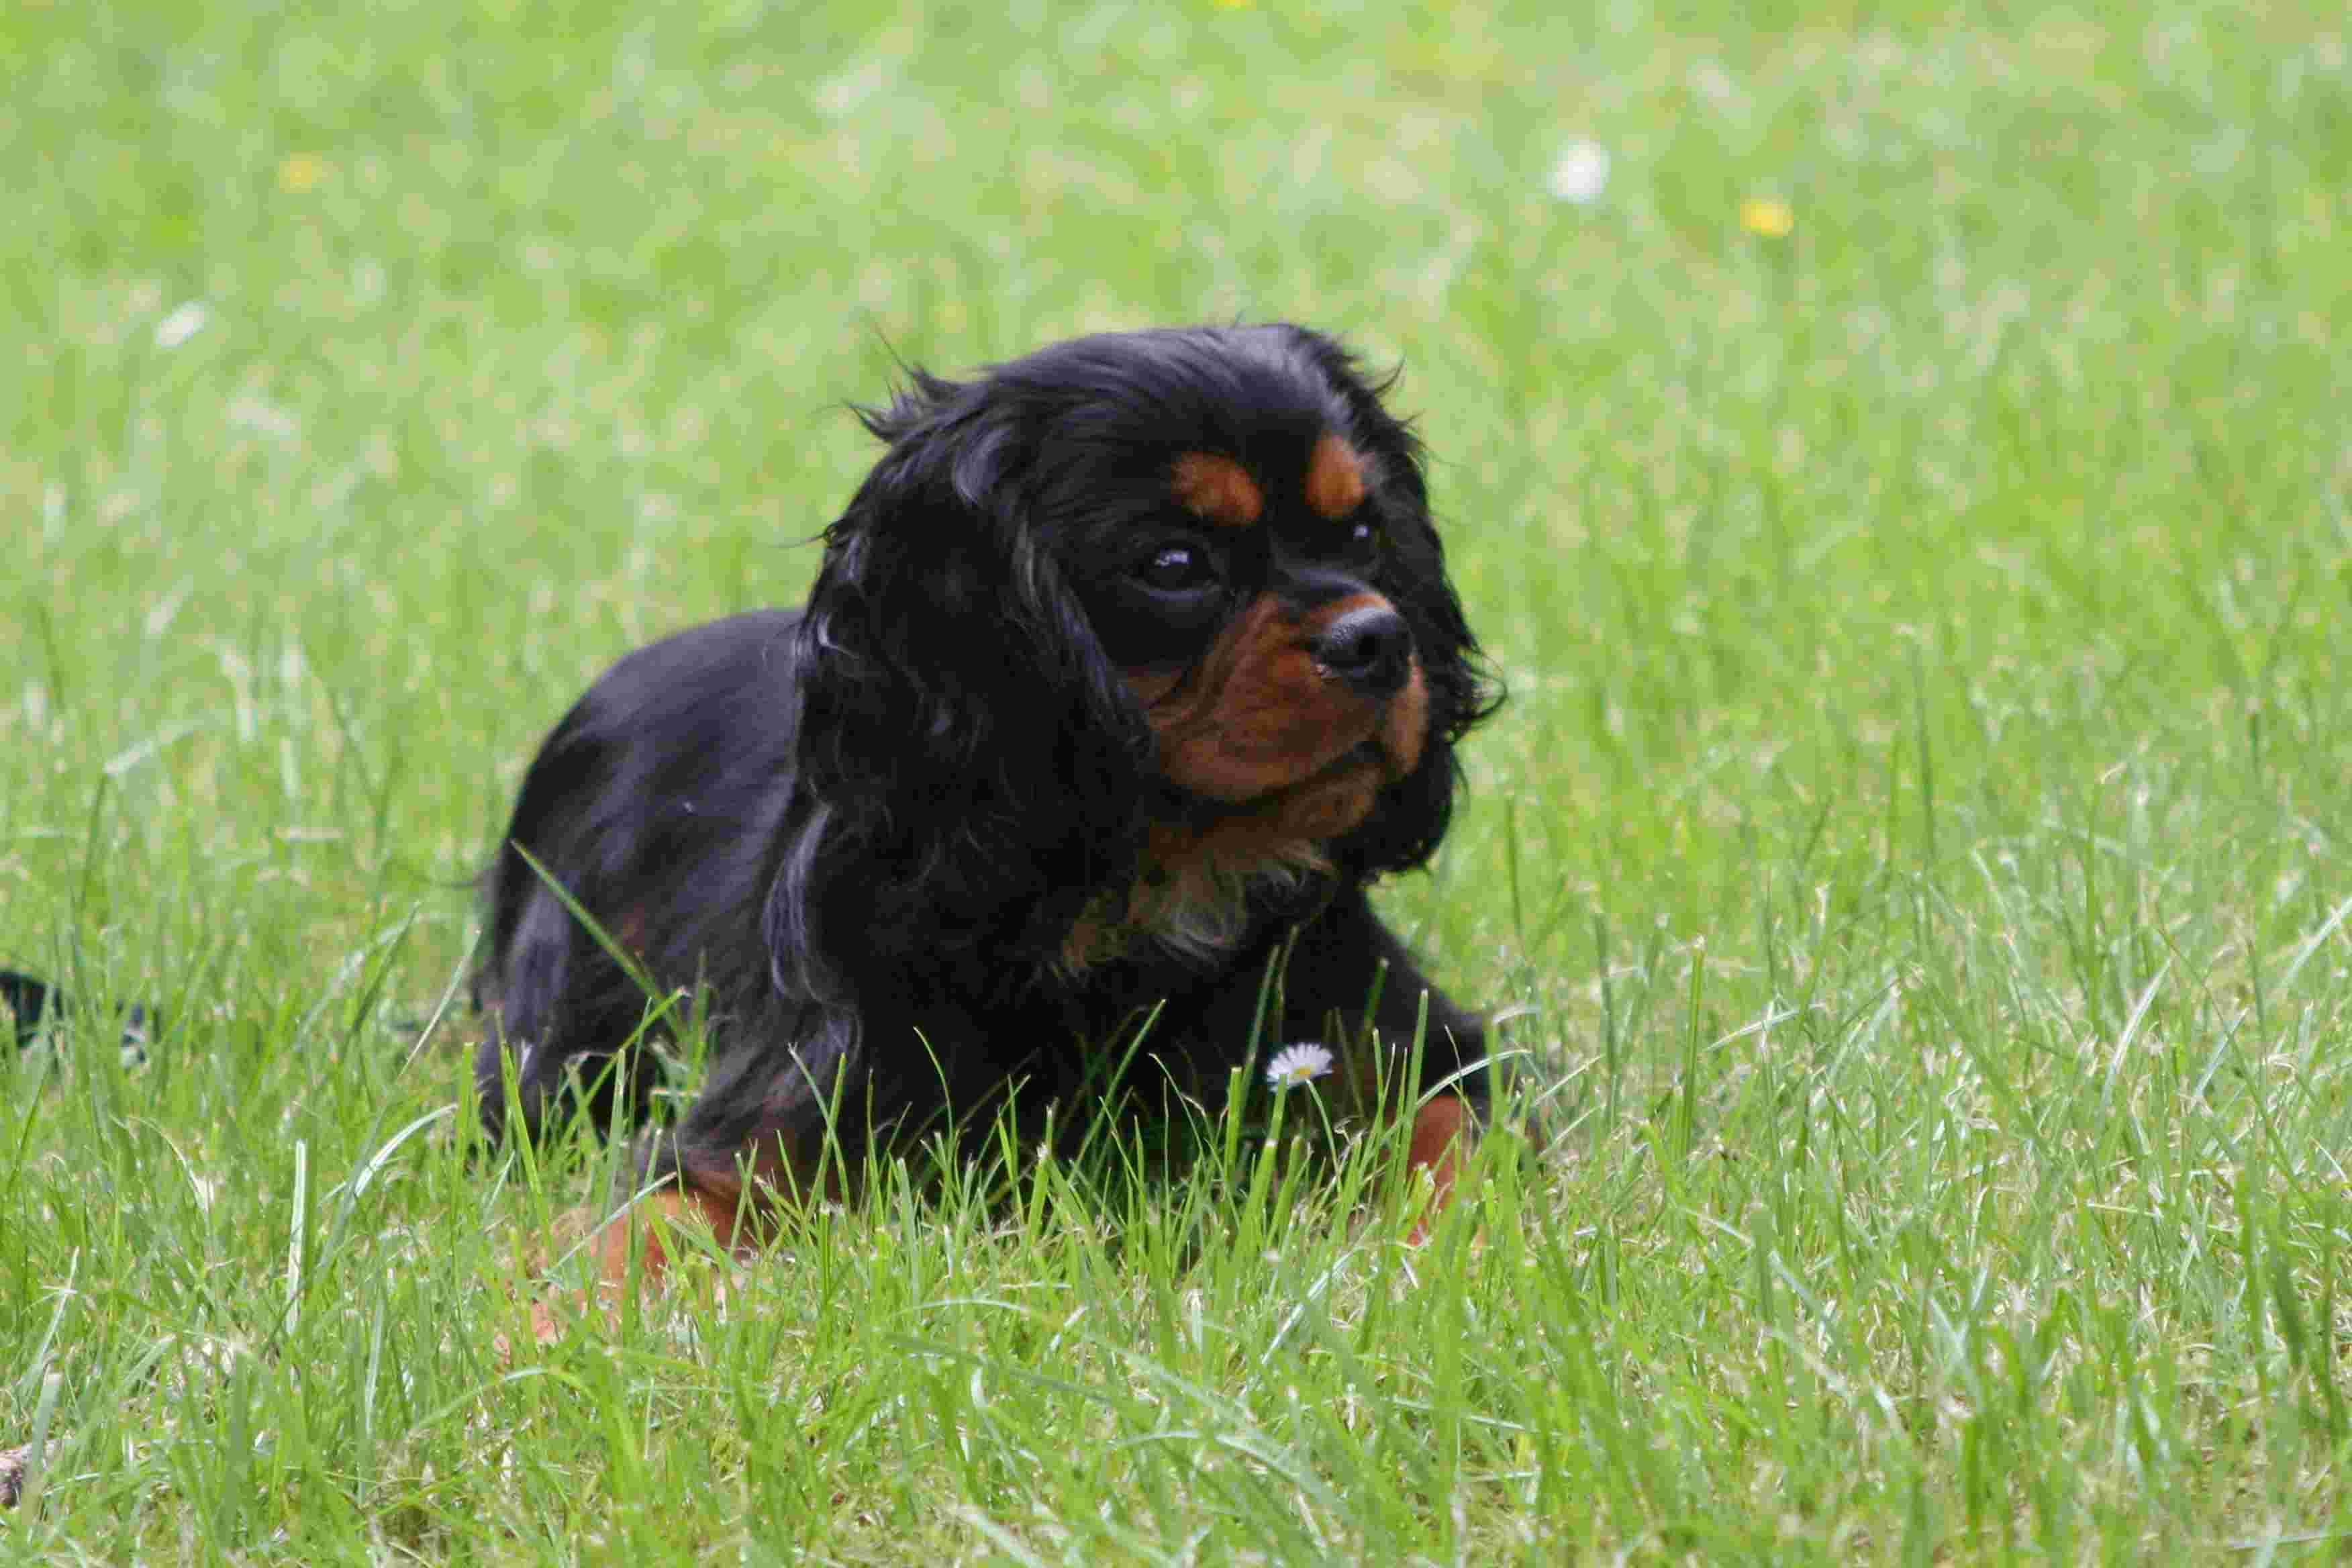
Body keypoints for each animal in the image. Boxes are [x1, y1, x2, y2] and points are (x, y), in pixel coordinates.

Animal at [471, 324, 1501, 1279]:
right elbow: (648, 1222)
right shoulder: (783, 1120)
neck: (1149, 901)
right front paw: (547, 1322)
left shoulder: (1416, 1051)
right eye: (1174, 566)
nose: (1380, 640)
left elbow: (1452, 1139)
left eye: (1365, 534)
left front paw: (1455, 1247)